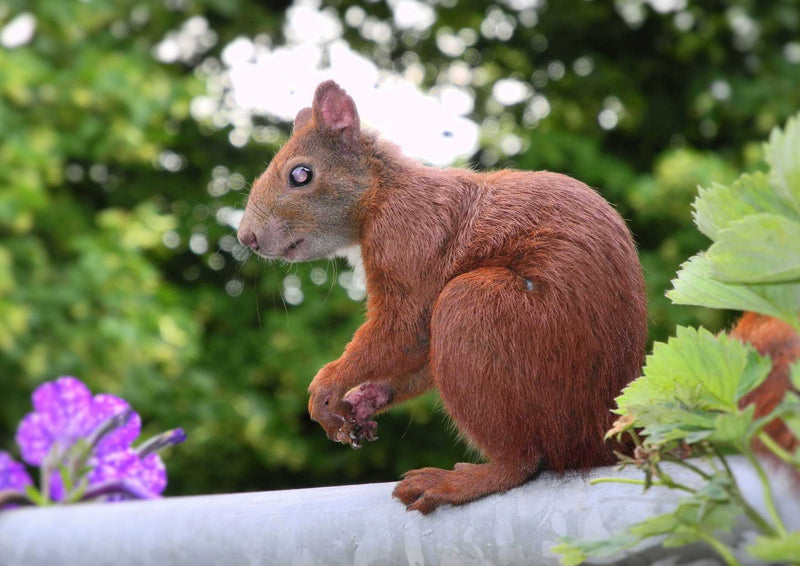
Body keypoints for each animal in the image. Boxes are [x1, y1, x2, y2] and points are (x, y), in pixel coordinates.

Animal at [238, 81, 648, 516]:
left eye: (301, 174)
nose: (246, 238)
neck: (383, 194)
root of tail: (604, 436)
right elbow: (416, 354)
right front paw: (363, 401)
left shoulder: (408, 239)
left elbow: (402, 331)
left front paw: (327, 388)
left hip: (478, 310)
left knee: (522, 463)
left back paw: (456, 482)